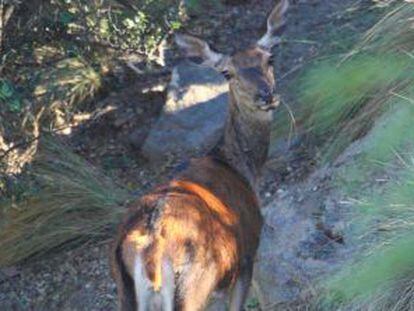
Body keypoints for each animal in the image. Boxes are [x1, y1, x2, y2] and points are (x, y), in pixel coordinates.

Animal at [110, 1, 290, 310]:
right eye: (227, 73)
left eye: (270, 59)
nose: (266, 96)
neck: (241, 167)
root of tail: (151, 253)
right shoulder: (247, 251)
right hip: (196, 283)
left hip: (126, 292)